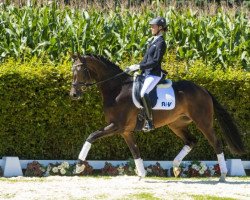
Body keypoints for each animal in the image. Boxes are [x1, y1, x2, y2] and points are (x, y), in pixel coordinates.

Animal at [69, 54, 245, 182]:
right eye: (72, 71)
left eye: (81, 70)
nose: (74, 94)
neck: (116, 89)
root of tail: (203, 90)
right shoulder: (125, 131)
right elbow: (135, 151)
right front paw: (142, 175)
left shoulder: (116, 126)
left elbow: (91, 136)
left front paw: (79, 166)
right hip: (176, 124)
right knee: (191, 141)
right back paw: (175, 167)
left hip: (203, 122)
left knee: (216, 143)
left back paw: (223, 175)